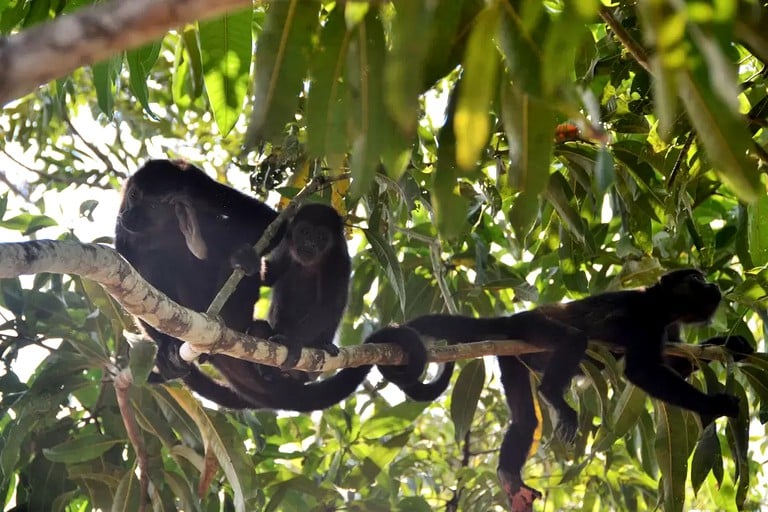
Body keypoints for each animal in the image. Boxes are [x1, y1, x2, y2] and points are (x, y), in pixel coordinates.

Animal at [402, 270, 752, 510]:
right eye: (695, 278)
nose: (712, 284)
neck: (663, 309)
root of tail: (510, 320)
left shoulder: (671, 331)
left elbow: (675, 365)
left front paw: (732, 345)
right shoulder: (643, 317)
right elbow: (641, 370)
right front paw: (715, 406)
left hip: (512, 356)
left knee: (526, 421)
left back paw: (510, 477)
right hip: (530, 327)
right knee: (573, 339)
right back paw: (552, 395)